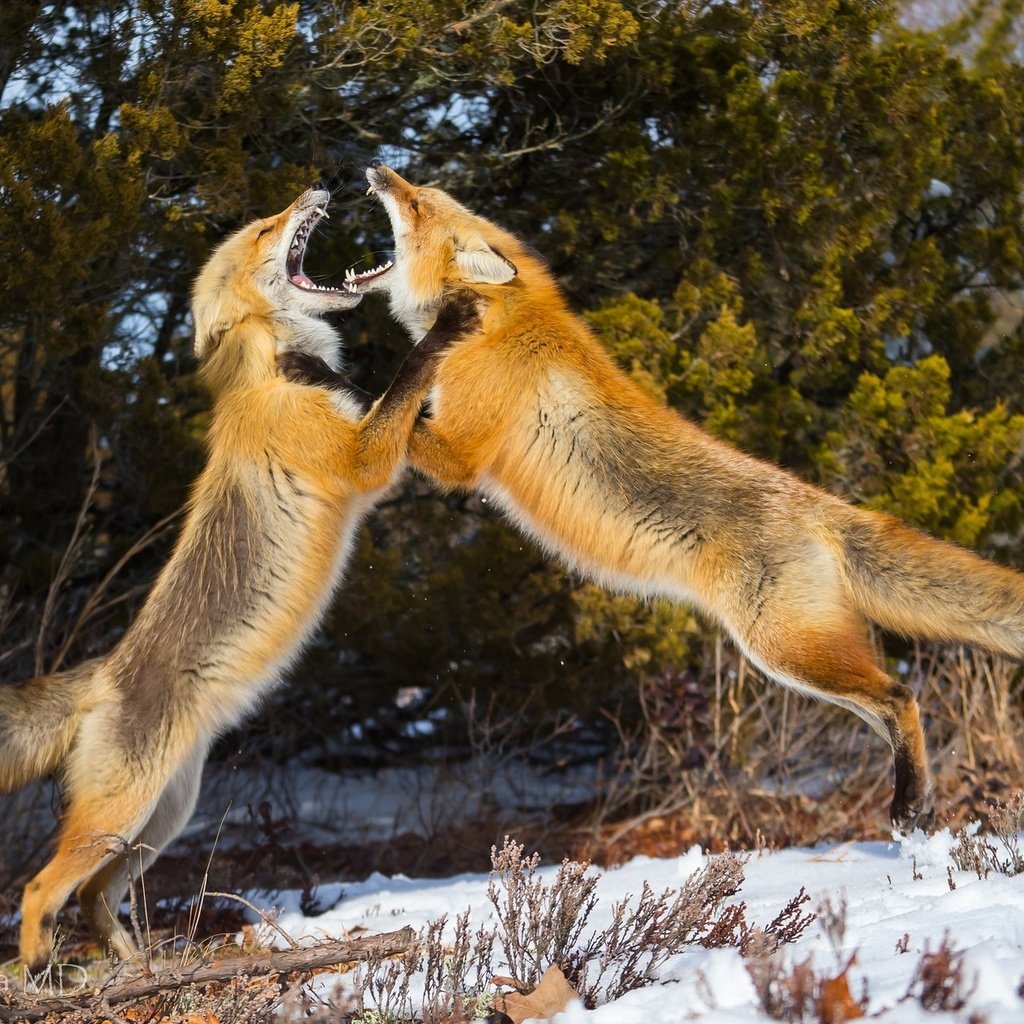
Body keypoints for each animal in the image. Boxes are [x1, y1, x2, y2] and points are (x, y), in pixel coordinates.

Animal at [299, 161, 1024, 831]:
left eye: (416, 205)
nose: (377, 169)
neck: (498, 322)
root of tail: (819, 503)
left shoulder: (460, 454)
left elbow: (382, 401)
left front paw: (315, 372)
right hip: (801, 656)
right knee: (884, 708)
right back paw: (915, 798)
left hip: (783, 649)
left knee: (901, 695)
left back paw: (908, 803)